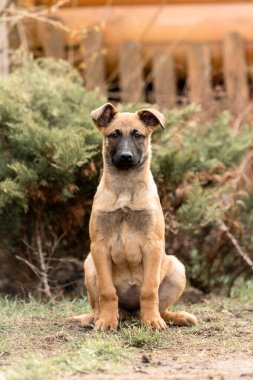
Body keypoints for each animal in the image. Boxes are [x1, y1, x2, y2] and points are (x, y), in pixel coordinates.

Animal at [71, 102, 198, 332]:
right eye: (114, 135)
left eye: (138, 135)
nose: (126, 157)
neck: (125, 187)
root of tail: (130, 311)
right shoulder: (99, 247)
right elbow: (107, 291)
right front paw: (107, 321)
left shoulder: (153, 245)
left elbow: (149, 290)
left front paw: (152, 321)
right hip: (89, 264)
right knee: (98, 305)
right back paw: (98, 317)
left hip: (176, 268)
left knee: (161, 309)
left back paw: (173, 317)